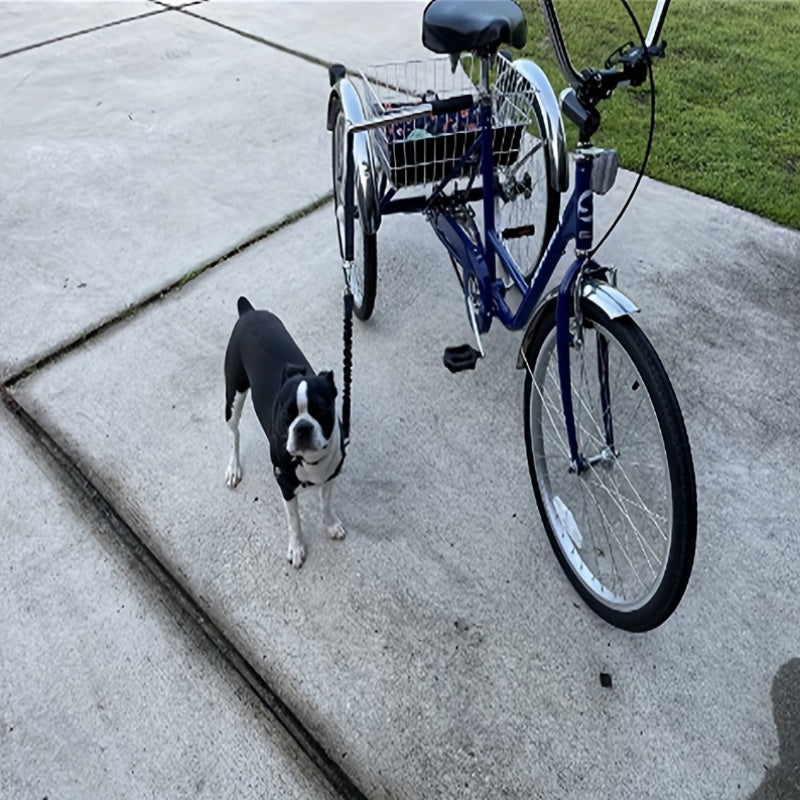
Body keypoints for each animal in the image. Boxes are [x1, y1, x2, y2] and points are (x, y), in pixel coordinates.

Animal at [227, 296, 348, 564]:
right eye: (286, 414)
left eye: (321, 410)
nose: (302, 427)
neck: (310, 460)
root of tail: (249, 312)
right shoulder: (285, 486)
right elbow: (295, 521)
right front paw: (296, 547)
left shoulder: (330, 476)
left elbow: (326, 503)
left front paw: (330, 524)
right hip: (233, 395)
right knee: (234, 433)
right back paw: (233, 468)